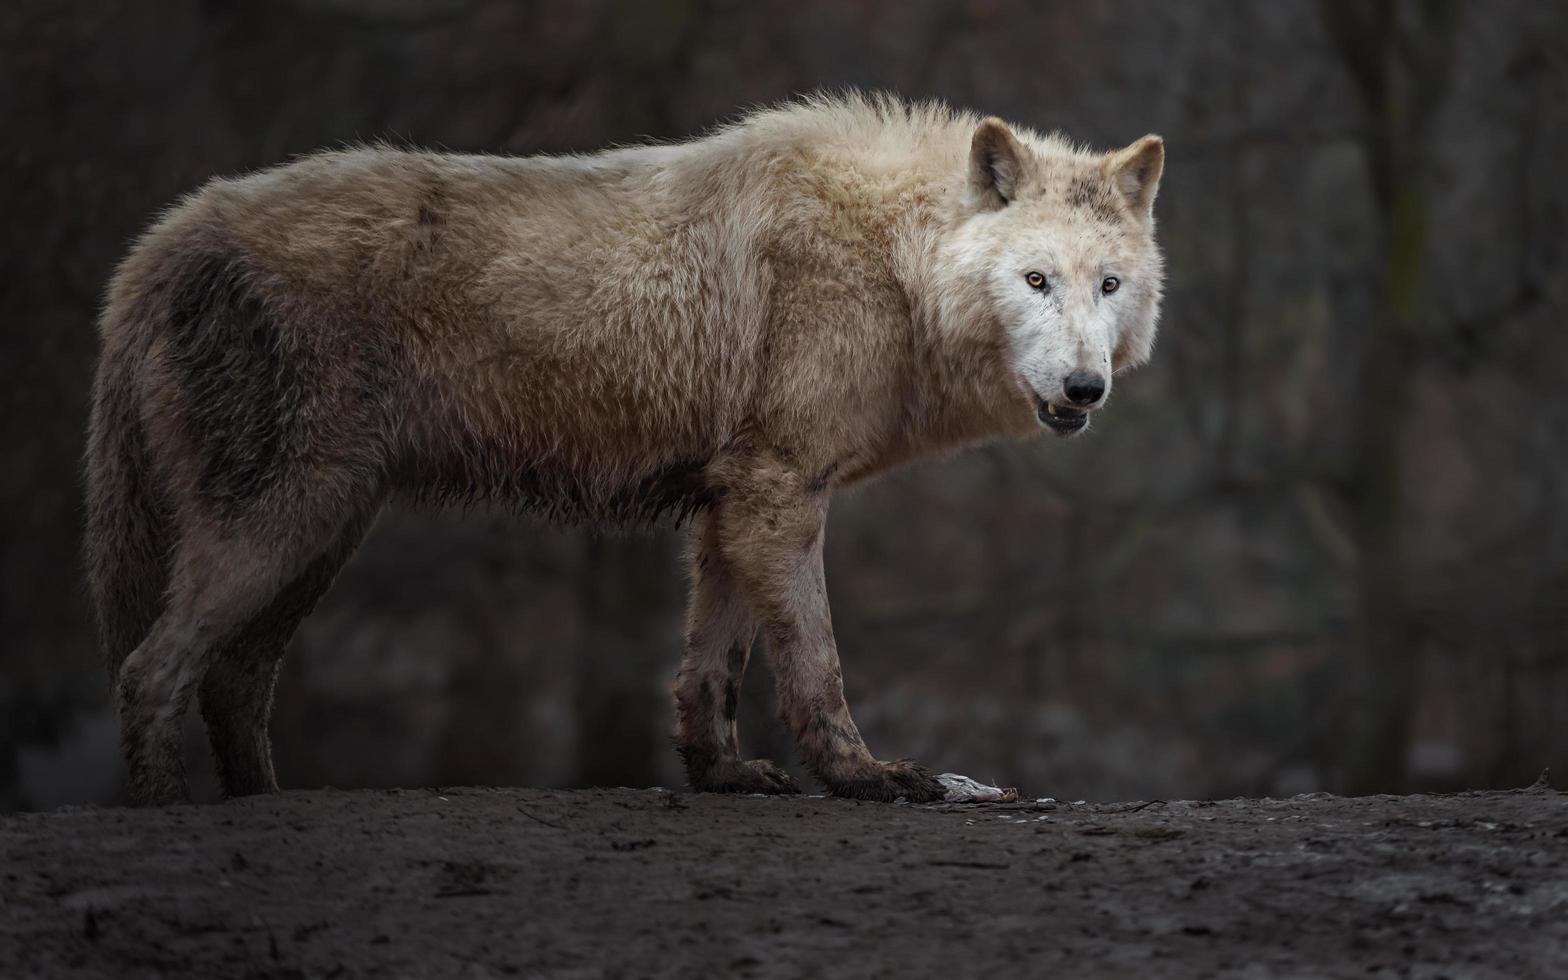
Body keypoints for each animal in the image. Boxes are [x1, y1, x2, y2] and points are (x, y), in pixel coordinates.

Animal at [85, 95, 1166, 809]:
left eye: (1107, 285)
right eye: (1035, 279)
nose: (1084, 388)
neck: (895, 261)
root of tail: (159, 243)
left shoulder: (735, 501)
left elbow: (709, 669)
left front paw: (724, 774)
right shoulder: (782, 489)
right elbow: (814, 661)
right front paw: (862, 775)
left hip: (323, 531)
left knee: (231, 679)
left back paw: (260, 803)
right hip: (288, 520)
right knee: (150, 669)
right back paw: (168, 810)